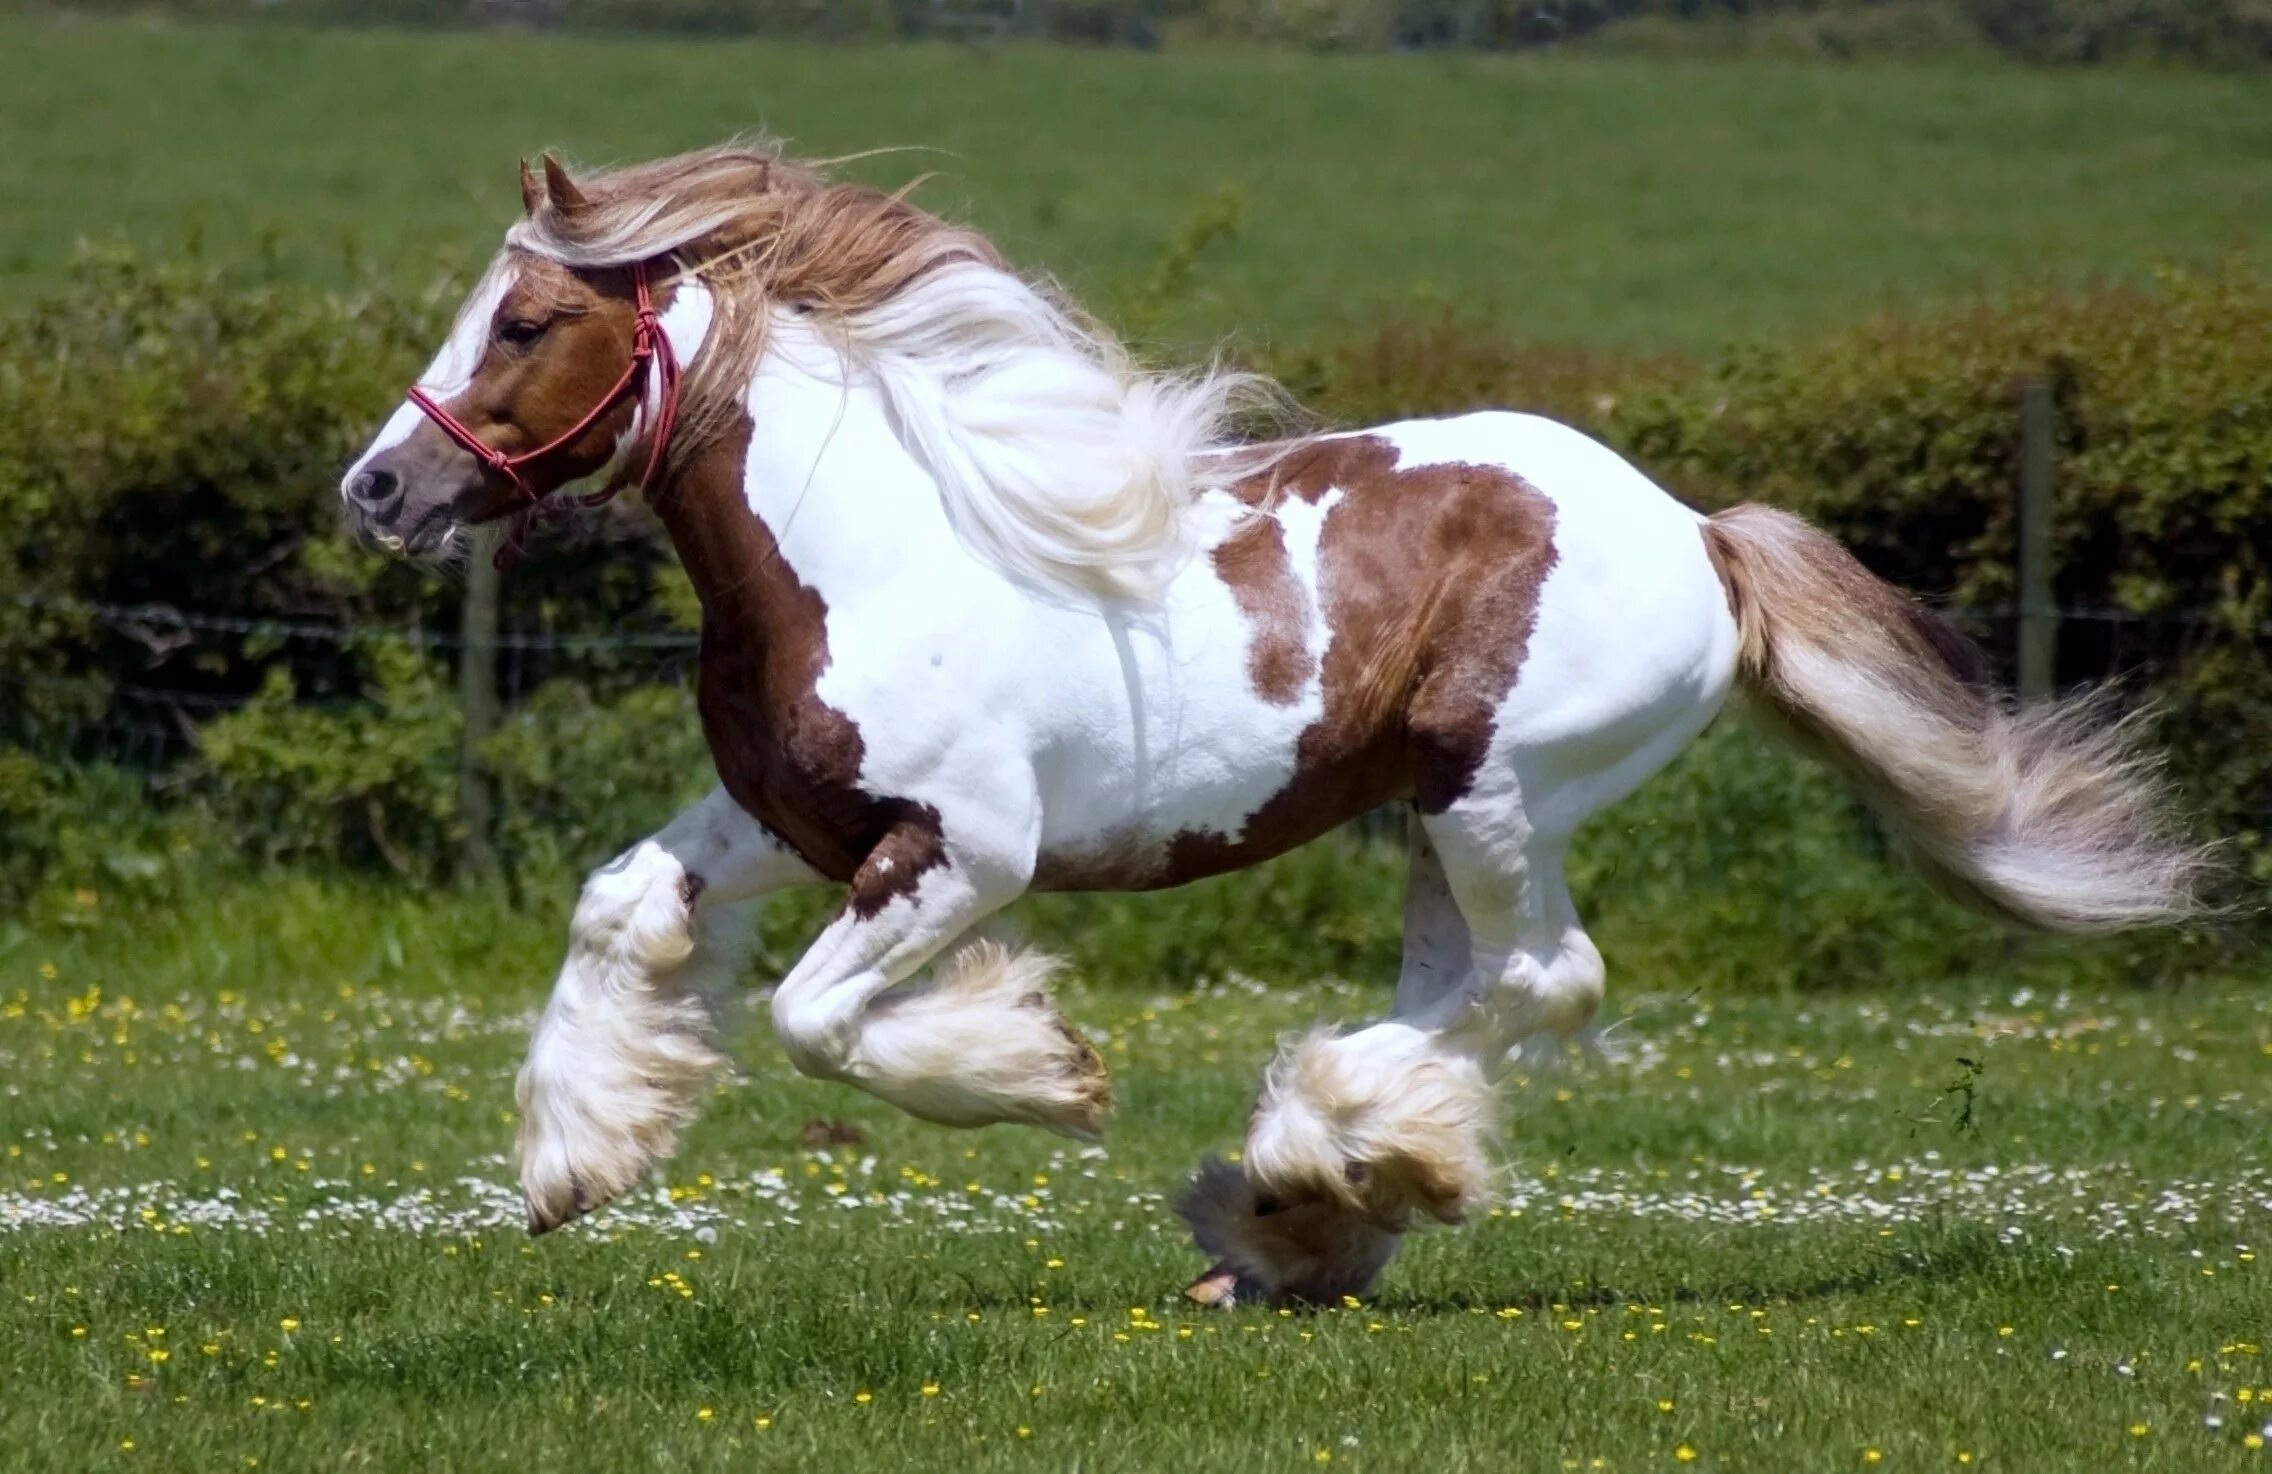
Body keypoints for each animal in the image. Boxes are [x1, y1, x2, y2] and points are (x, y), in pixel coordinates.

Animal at [336, 143, 2199, 1308]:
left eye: (524, 320)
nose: (378, 488)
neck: (868, 546)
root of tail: (1698, 536)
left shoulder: (963, 852)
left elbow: (812, 1020)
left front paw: (1045, 1070)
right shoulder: (781, 817)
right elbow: (617, 909)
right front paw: (574, 1160)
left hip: (1496, 793)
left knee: (1544, 979)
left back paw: (1309, 1170)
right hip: (1436, 820)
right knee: (1472, 988)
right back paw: (1301, 1211)